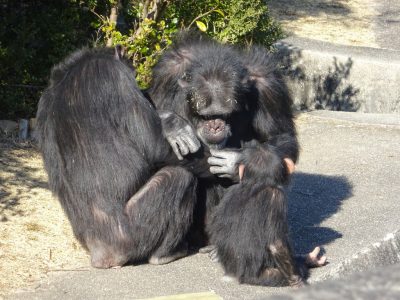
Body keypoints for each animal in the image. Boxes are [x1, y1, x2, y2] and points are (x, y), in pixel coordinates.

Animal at [36, 46, 211, 268]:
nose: (136, 78)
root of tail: (101, 256)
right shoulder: (111, 74)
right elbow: (156, 145)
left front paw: (170, 121)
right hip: (130, 235)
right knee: (179, 176)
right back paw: (166, 254)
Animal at [147, 34, 324, 288]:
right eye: (207, 116)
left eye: (224, 114)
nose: (215, 125)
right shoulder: (167, 72)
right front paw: (171, 123)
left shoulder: (269, 85)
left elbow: (280, 136)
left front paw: (236, 162)